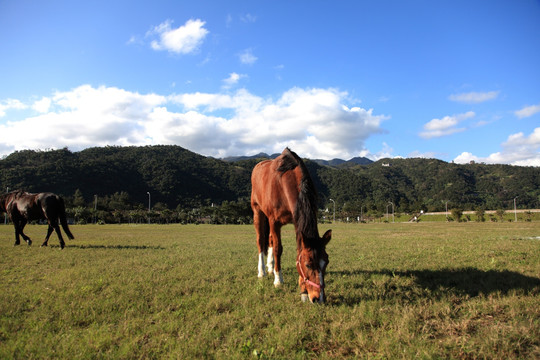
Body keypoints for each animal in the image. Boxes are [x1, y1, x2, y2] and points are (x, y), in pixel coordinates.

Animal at [251, 148, 332, 302]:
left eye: (326, 262)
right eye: (308, 264)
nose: (318, 298)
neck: (283, 183)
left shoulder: (297, 220)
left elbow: (297, 249)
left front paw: (303, 289)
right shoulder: (274, 221)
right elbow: (278, 249)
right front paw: (278, 280)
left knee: (270, 239)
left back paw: (270, 267)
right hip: (258, 211)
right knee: (260, 241)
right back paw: (262, 271)